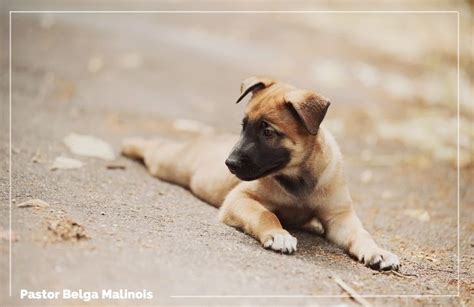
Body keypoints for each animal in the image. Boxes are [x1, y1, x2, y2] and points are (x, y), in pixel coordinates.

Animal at [122, 77, 400, 272]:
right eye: (244, 127)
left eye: (267, 132)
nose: (230, 163)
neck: (297, 178)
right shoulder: (240, 199)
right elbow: (265, 214)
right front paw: (279, 235)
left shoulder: (339, 217)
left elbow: (361, 234)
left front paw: (378, 252)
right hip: (169, 163)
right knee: (155, 148)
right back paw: (130, 145)